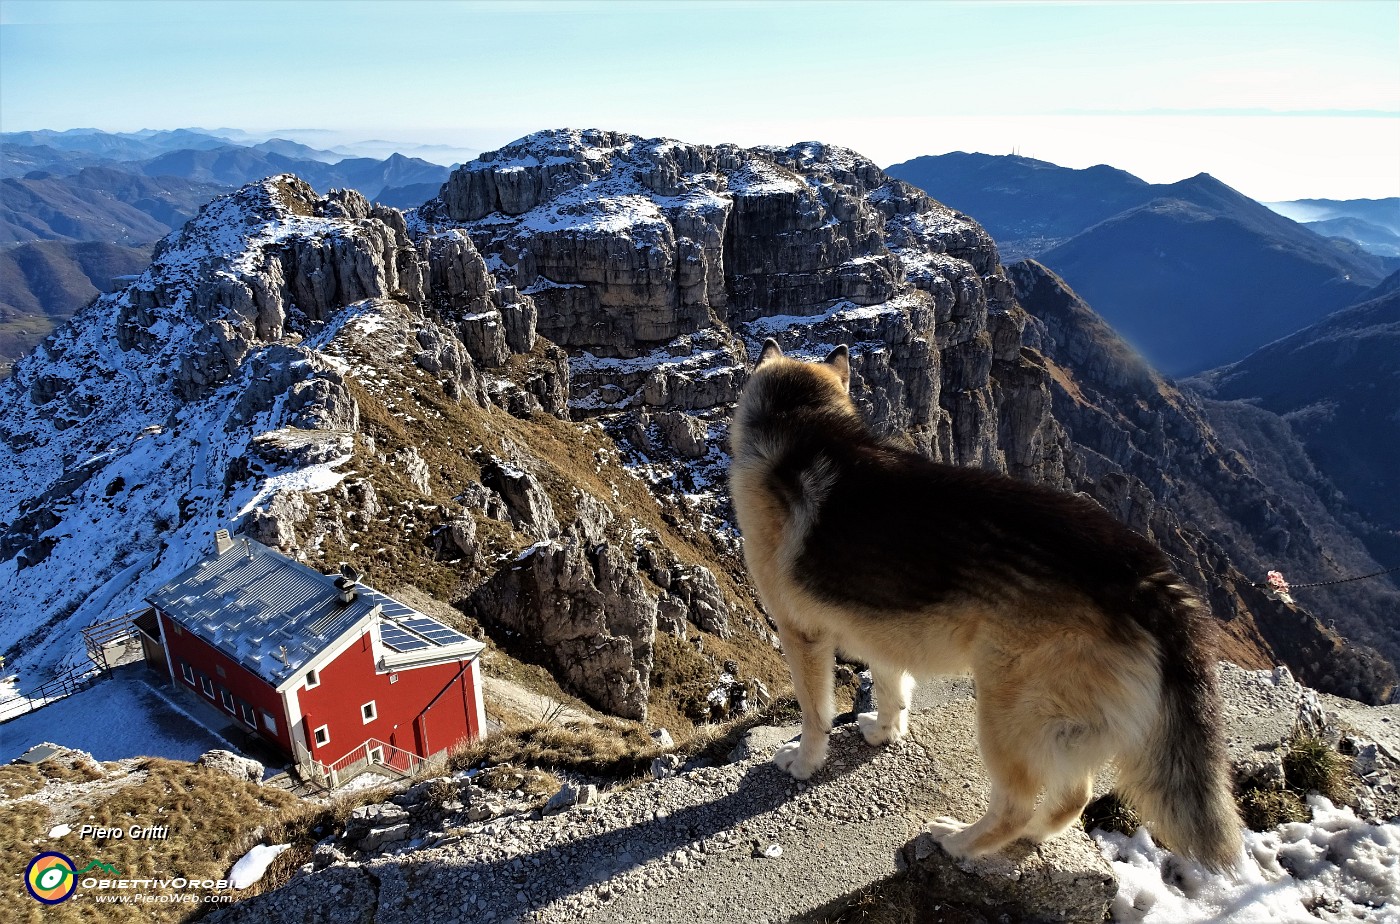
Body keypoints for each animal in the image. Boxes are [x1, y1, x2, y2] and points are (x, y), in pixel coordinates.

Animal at [728, 337, 1243, 868]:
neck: (805, 422)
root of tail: (1146, 579)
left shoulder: (802, 636)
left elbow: (815, 715)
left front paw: (803, 764)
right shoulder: (882, 630)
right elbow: (891, 689)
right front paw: (885, 732)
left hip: (1004, 711)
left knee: (1017, 802)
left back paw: (959, 841)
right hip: (1061, 724)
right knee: (1072, 797)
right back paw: (1030, 839)